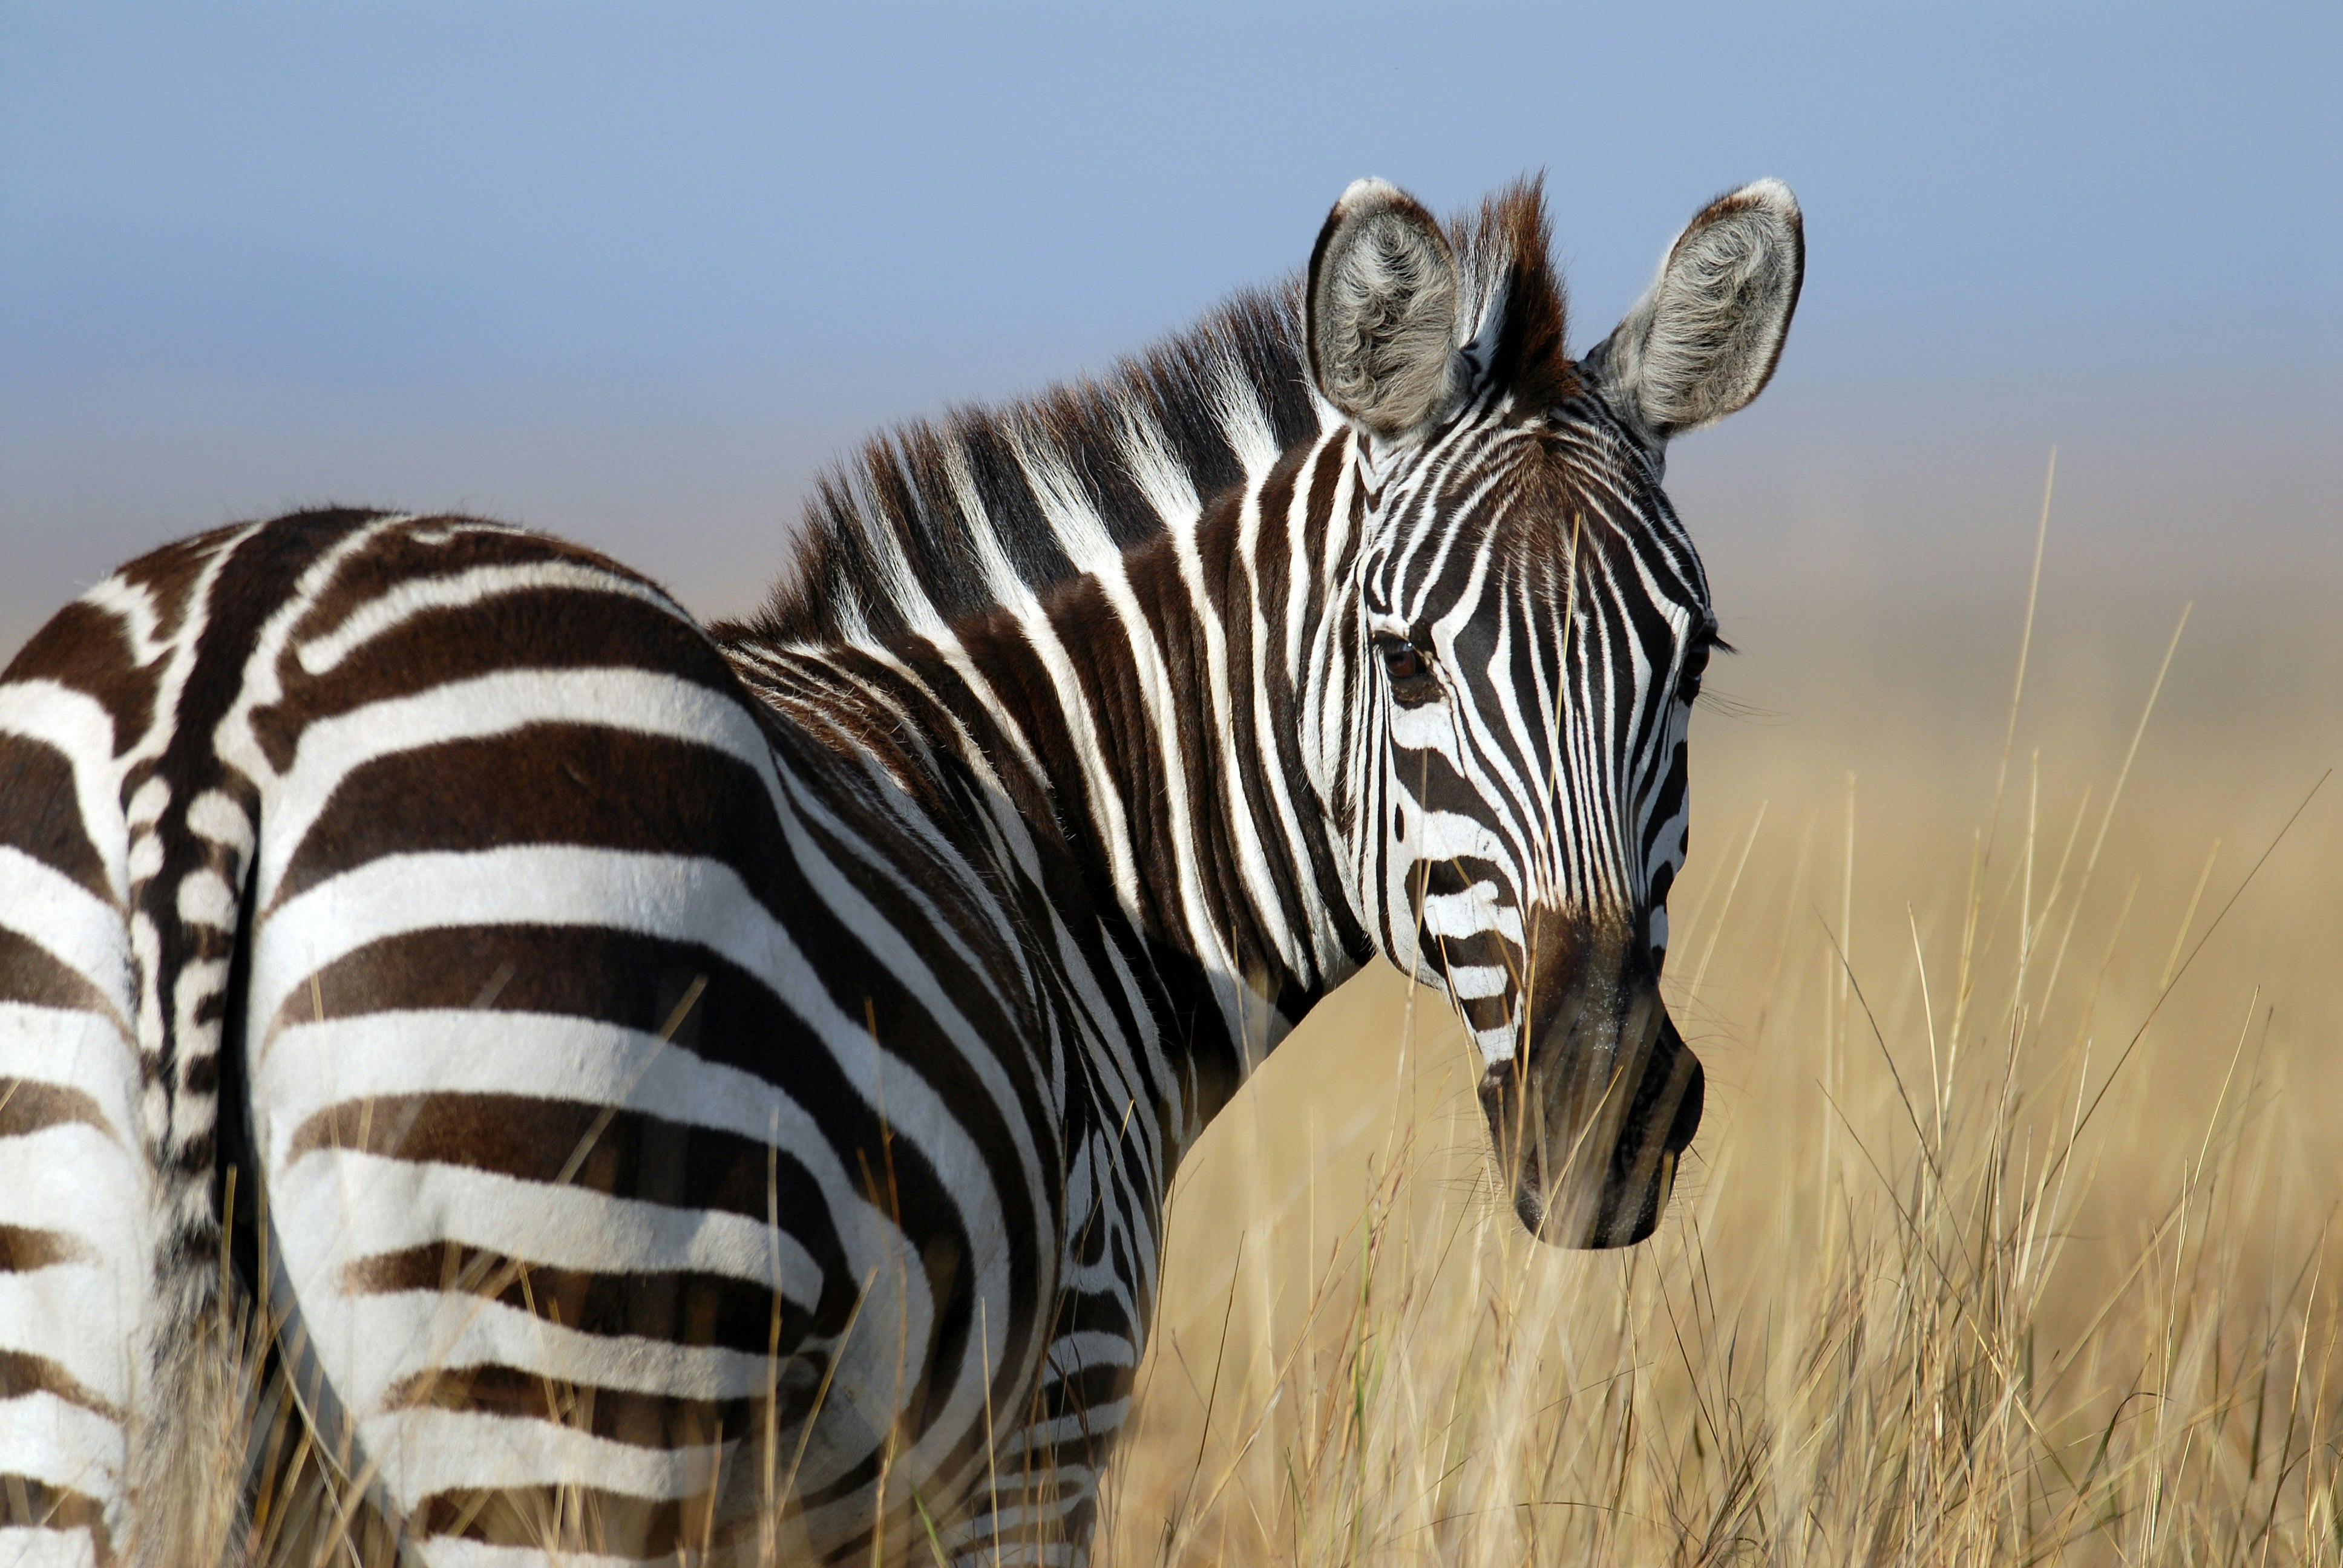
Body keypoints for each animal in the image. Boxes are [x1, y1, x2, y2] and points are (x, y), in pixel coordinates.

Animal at [0, 177, 1799, 1556]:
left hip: (78, 1391)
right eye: (1406, 660)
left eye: (1693, 660)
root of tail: (224, 688)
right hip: (556, 1388)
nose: (1606, 1114)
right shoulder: (1040, 1422)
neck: (1070, 846)